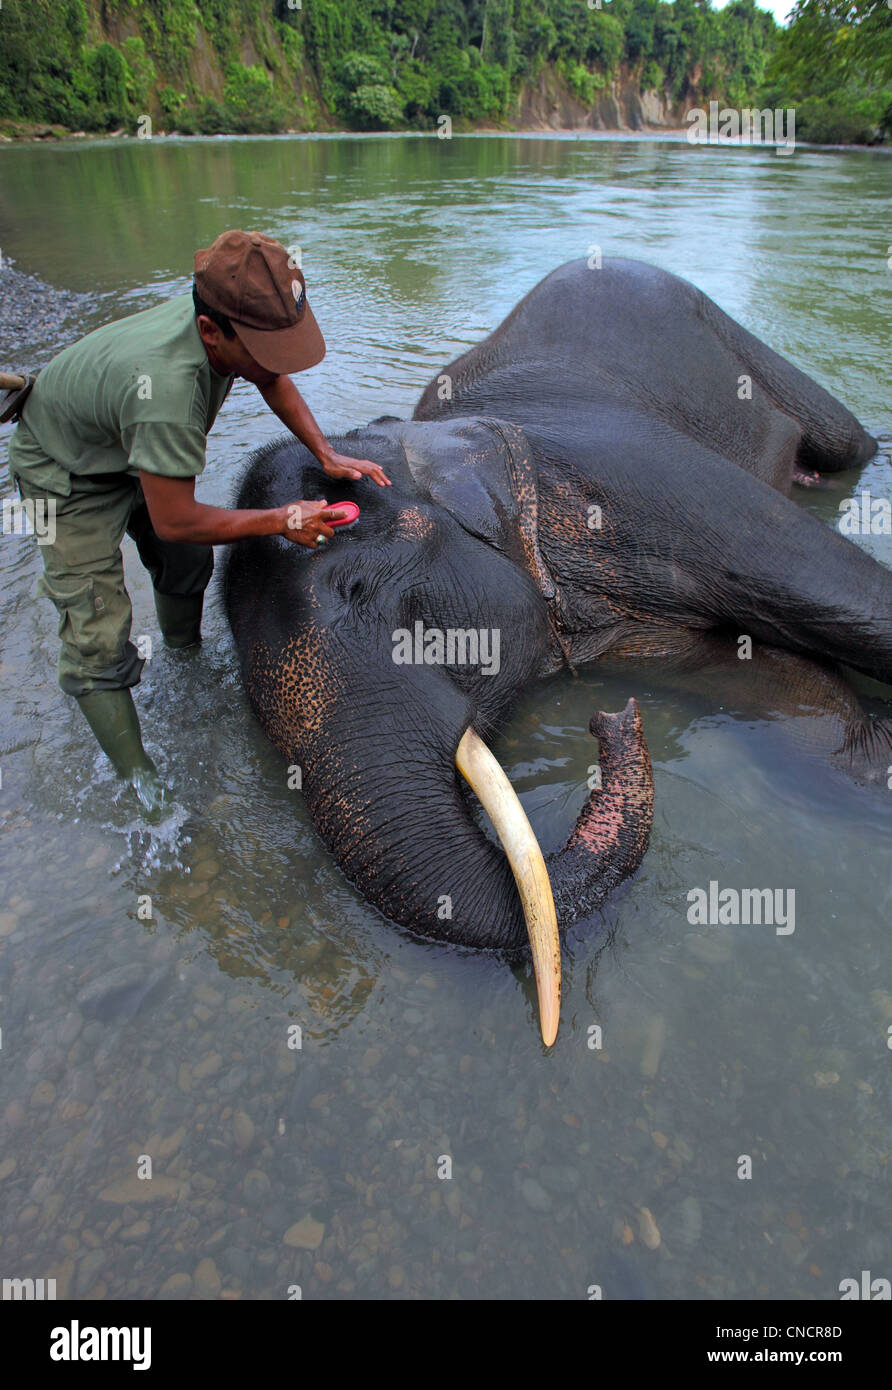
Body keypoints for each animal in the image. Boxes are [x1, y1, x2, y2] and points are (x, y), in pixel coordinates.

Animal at [223, 261, 889, 1045]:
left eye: (354, 587)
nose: (611, 722)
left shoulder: (643, 477)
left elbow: (842, 591)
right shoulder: (634, 637)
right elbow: (773, 689)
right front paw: (874, 747)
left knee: (849, 445)